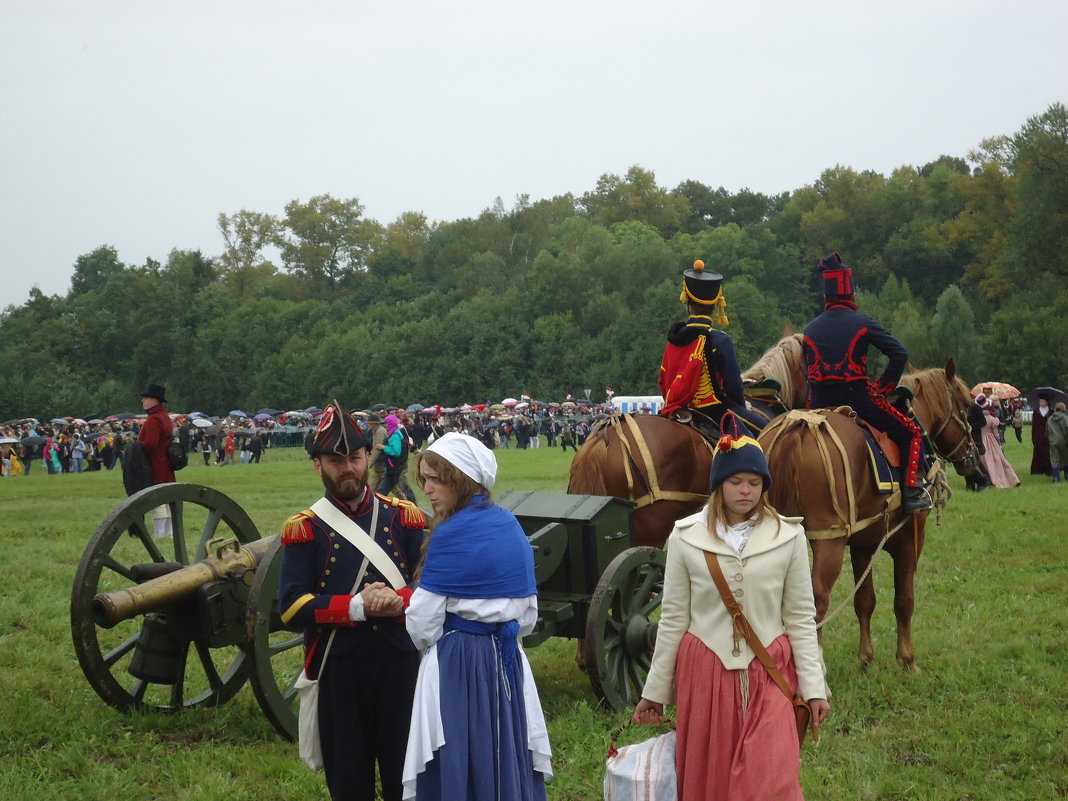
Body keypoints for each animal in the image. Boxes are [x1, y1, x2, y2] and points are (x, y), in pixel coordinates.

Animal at [756, 358, 978, 670]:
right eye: (967, 404)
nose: (973, 455)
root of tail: (797, 427)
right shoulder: (910, 539)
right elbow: (904, 600)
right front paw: (907, 659)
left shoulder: (863, 544)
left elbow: (864, 600)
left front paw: (866, 658)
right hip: (829, 542)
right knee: (816, 598)